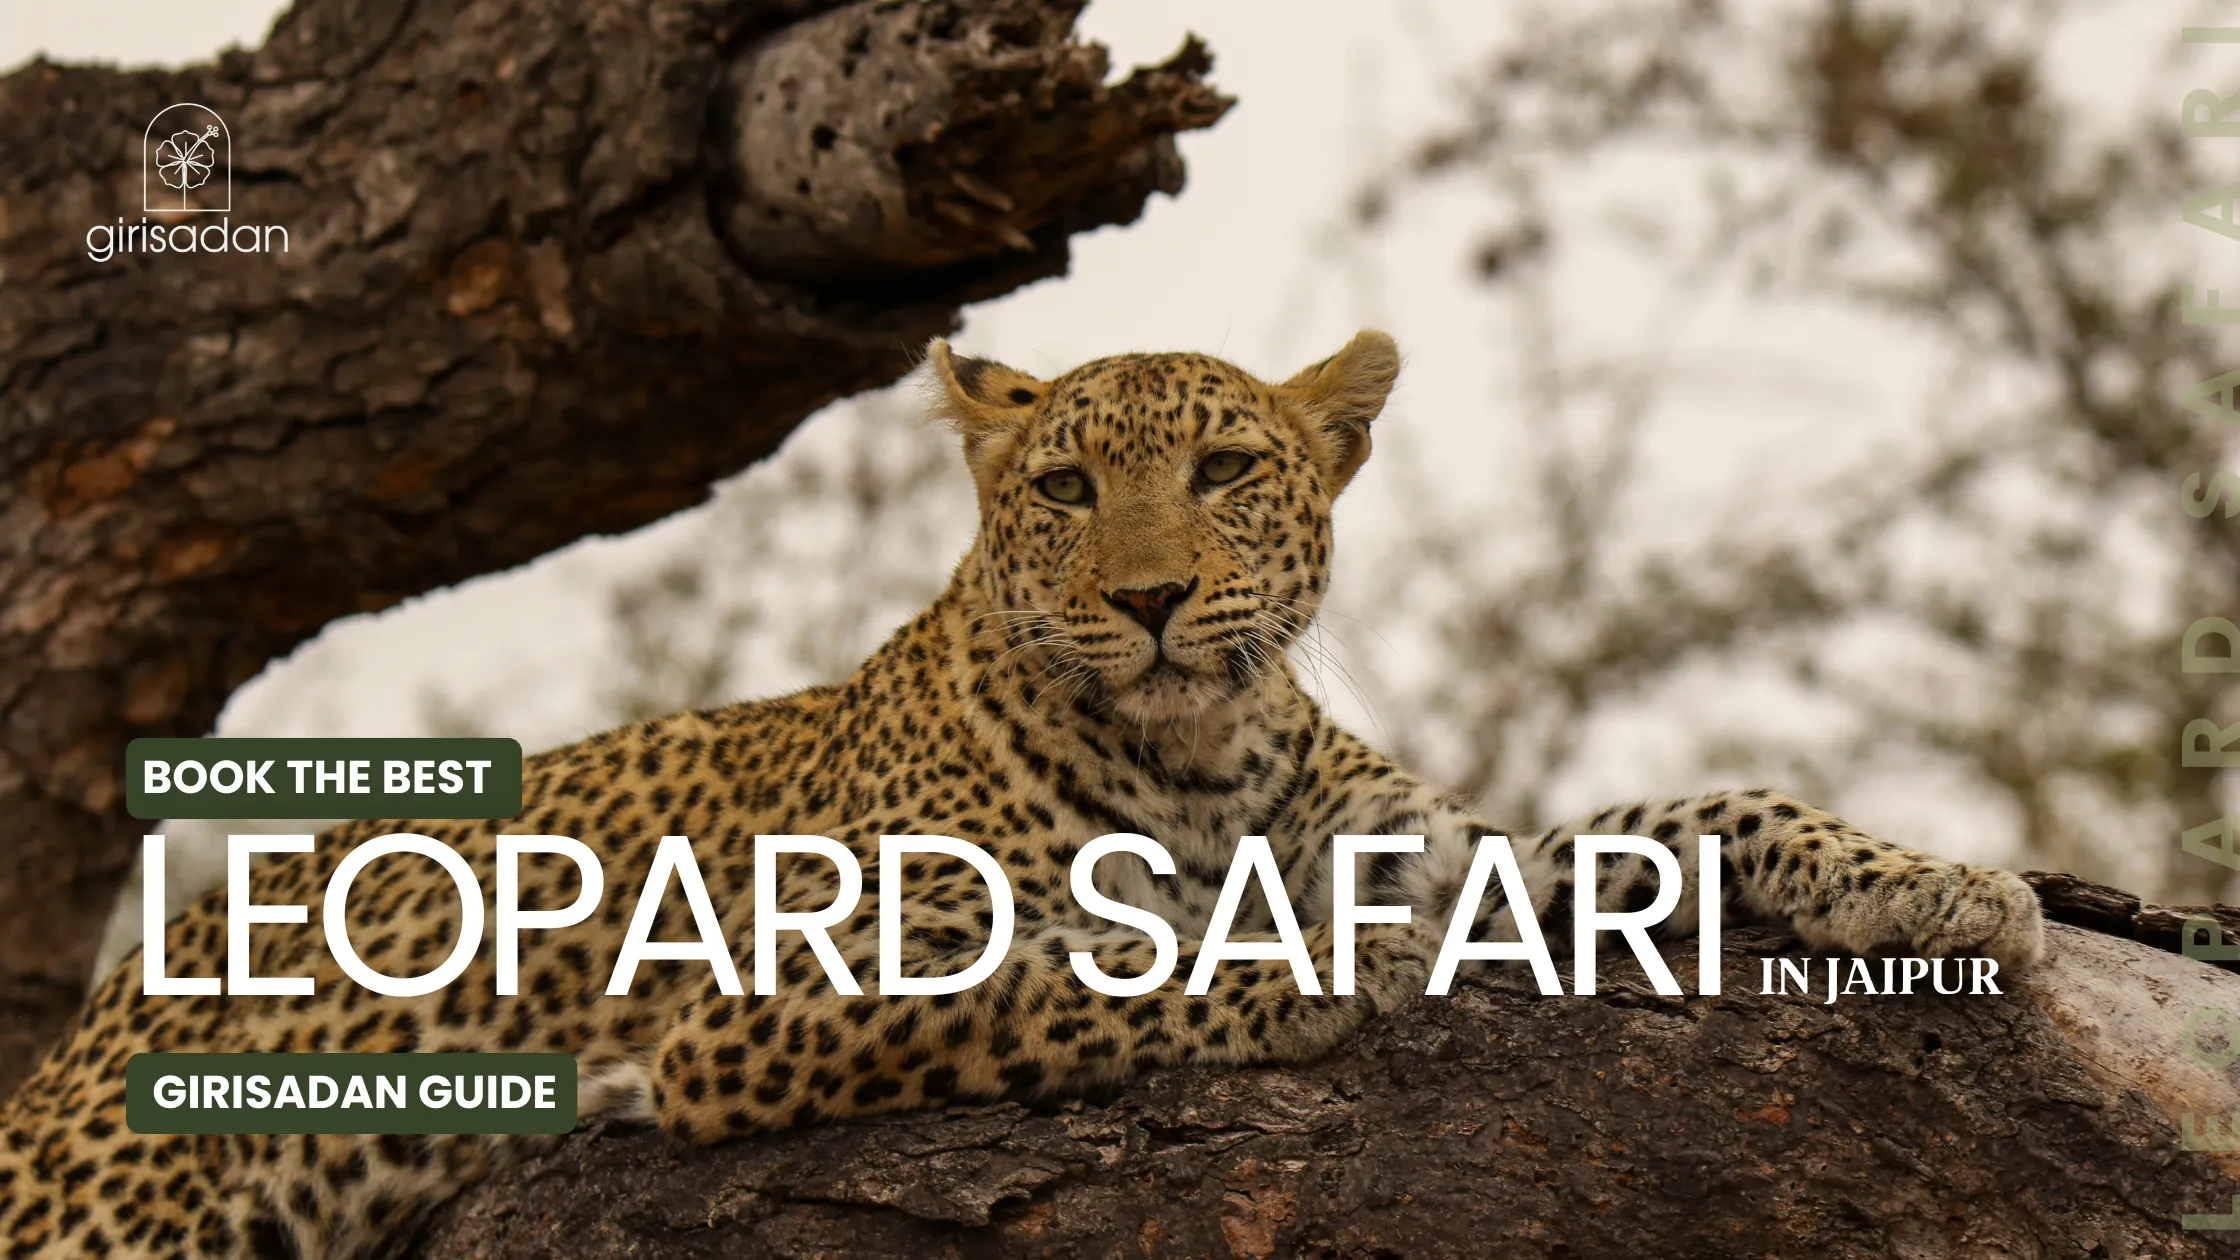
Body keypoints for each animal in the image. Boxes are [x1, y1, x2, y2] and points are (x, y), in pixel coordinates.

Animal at [0, 330, 2046, 1259]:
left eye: (1227, 469)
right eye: (1064, 490)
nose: (1143, 598)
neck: (1200, 751)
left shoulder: (1449, 851)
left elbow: (1694, 818)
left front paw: (1940, 883)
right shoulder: (766, 1006)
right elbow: (1081, 965)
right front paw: (1311, 972)